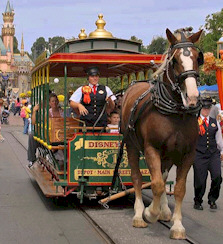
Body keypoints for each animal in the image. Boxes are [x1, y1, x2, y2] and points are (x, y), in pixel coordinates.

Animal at [121, 28, 203, 238]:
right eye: (175, 61)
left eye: (198, 58)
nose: (192, 96)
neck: (175, 113)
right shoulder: (151, 149)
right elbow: (155, 184)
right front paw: (149, 213)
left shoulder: (187, 154)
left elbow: (179, 188)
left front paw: (177, 225)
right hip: (131, 145)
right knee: (137, 176)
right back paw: (139, 214)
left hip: (169, 154)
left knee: (164, 177)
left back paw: (165, 211)